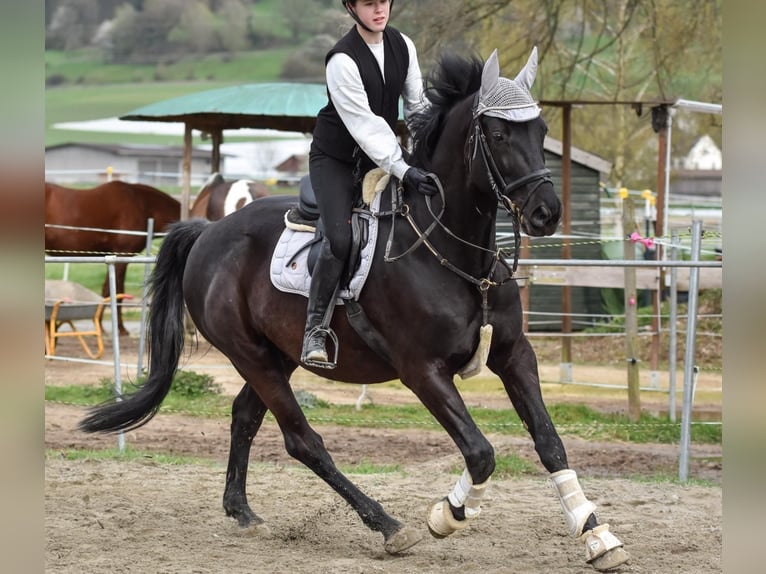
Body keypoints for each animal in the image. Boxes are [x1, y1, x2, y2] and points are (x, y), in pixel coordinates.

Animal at [45, 182, 182, 336]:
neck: (142, 204)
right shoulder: (122, 256)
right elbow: (117, 291)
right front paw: (120, 328)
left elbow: (106, 290)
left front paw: (99, 324)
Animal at [79, 49, 632, 572]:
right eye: (497, 134)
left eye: (540, 130)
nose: (545, 213)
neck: (452, 254)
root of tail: (209, 231)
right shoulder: (422, 371)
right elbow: (480, 453)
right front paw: (445, 516)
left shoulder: (515, 355)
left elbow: (549, 442)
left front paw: (598, 538)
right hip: (250, 355)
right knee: (303, 440)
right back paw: (387, 525)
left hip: (276, 356)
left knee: (244, 417)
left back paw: (243, 511)